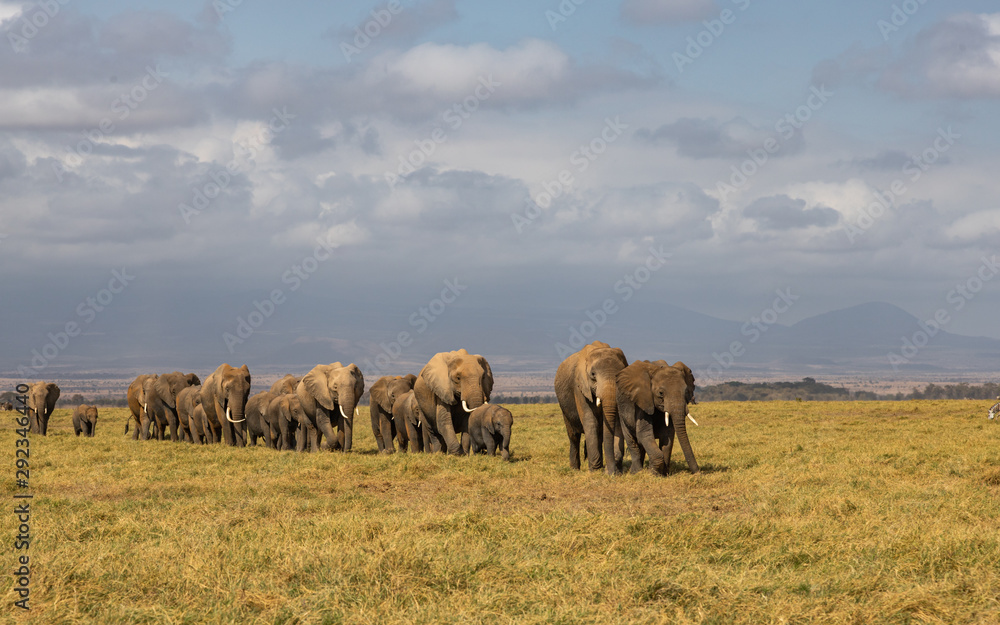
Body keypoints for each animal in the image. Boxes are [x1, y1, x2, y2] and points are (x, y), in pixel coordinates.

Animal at [556, 342, 624, 472]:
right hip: (564, 408)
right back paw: (575, 469)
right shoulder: (579, 387)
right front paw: (595, 471)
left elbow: (618, 422)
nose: (610, 472)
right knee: (574, 437)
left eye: (620, 373)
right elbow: (590, 420)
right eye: (593, 375)